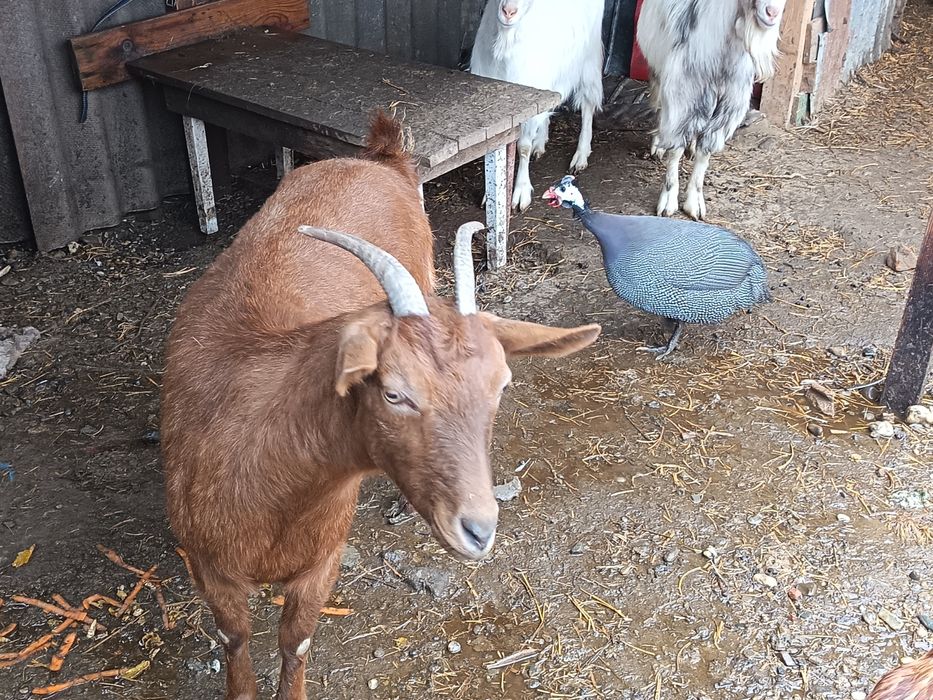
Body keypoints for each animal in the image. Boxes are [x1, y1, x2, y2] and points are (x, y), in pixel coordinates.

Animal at [160, 112, 601, 700]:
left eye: (501, 387)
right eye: (394, 391)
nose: (480, 529)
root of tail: (379, 157)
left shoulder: (322, 562)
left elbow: (296, 642)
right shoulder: (211, 570)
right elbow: (235, 642)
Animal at [470, 0, 605, 211]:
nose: (508, 12)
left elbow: (523, 147)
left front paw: (520, 192)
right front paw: (492, 194)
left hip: (588, 60)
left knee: (588, 104)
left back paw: (581, 155)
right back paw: (540, 144)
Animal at [638, 0, 786, 220]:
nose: (772, 13)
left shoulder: (727, 107)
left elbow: (705, 153)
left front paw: (695, 203)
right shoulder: (684, 95)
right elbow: (675, 150)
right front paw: (668, 202)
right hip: (659, 71)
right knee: (660, 108)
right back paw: (659, 144)